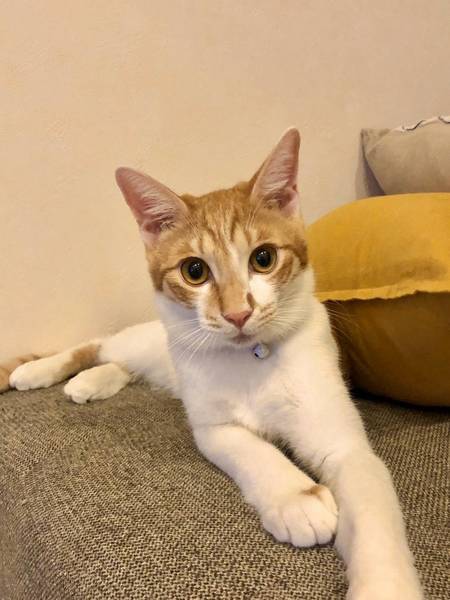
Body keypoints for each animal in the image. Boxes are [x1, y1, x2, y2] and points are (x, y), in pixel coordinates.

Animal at [5, 129, 422, 599]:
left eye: (263, 258)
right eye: (194, 270)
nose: (238, 313)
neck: (251, 359)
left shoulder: (344, 444)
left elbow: (372, 511)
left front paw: (384, 583)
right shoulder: (213, 428)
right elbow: (252, 449)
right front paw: (298, 499)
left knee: (120, 362)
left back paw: (90, 382)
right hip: (153, 340)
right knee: (100, 344)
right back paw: (36, 371)